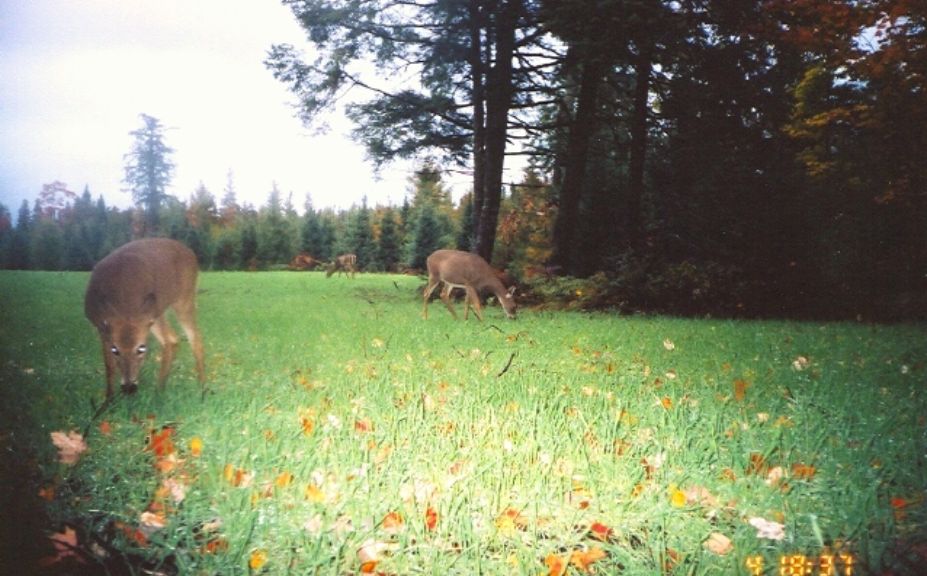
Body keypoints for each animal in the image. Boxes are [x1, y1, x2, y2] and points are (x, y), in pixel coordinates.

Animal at [84, 237, 206, 396]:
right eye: (115, 350)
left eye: (141, 349)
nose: (129, 388)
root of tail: (190, 251)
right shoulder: (101, 327)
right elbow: (109, 366)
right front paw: (109, 399)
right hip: (157, 314)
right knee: (173, 339)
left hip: (183, 299)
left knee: (191, 338)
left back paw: (200, 388)